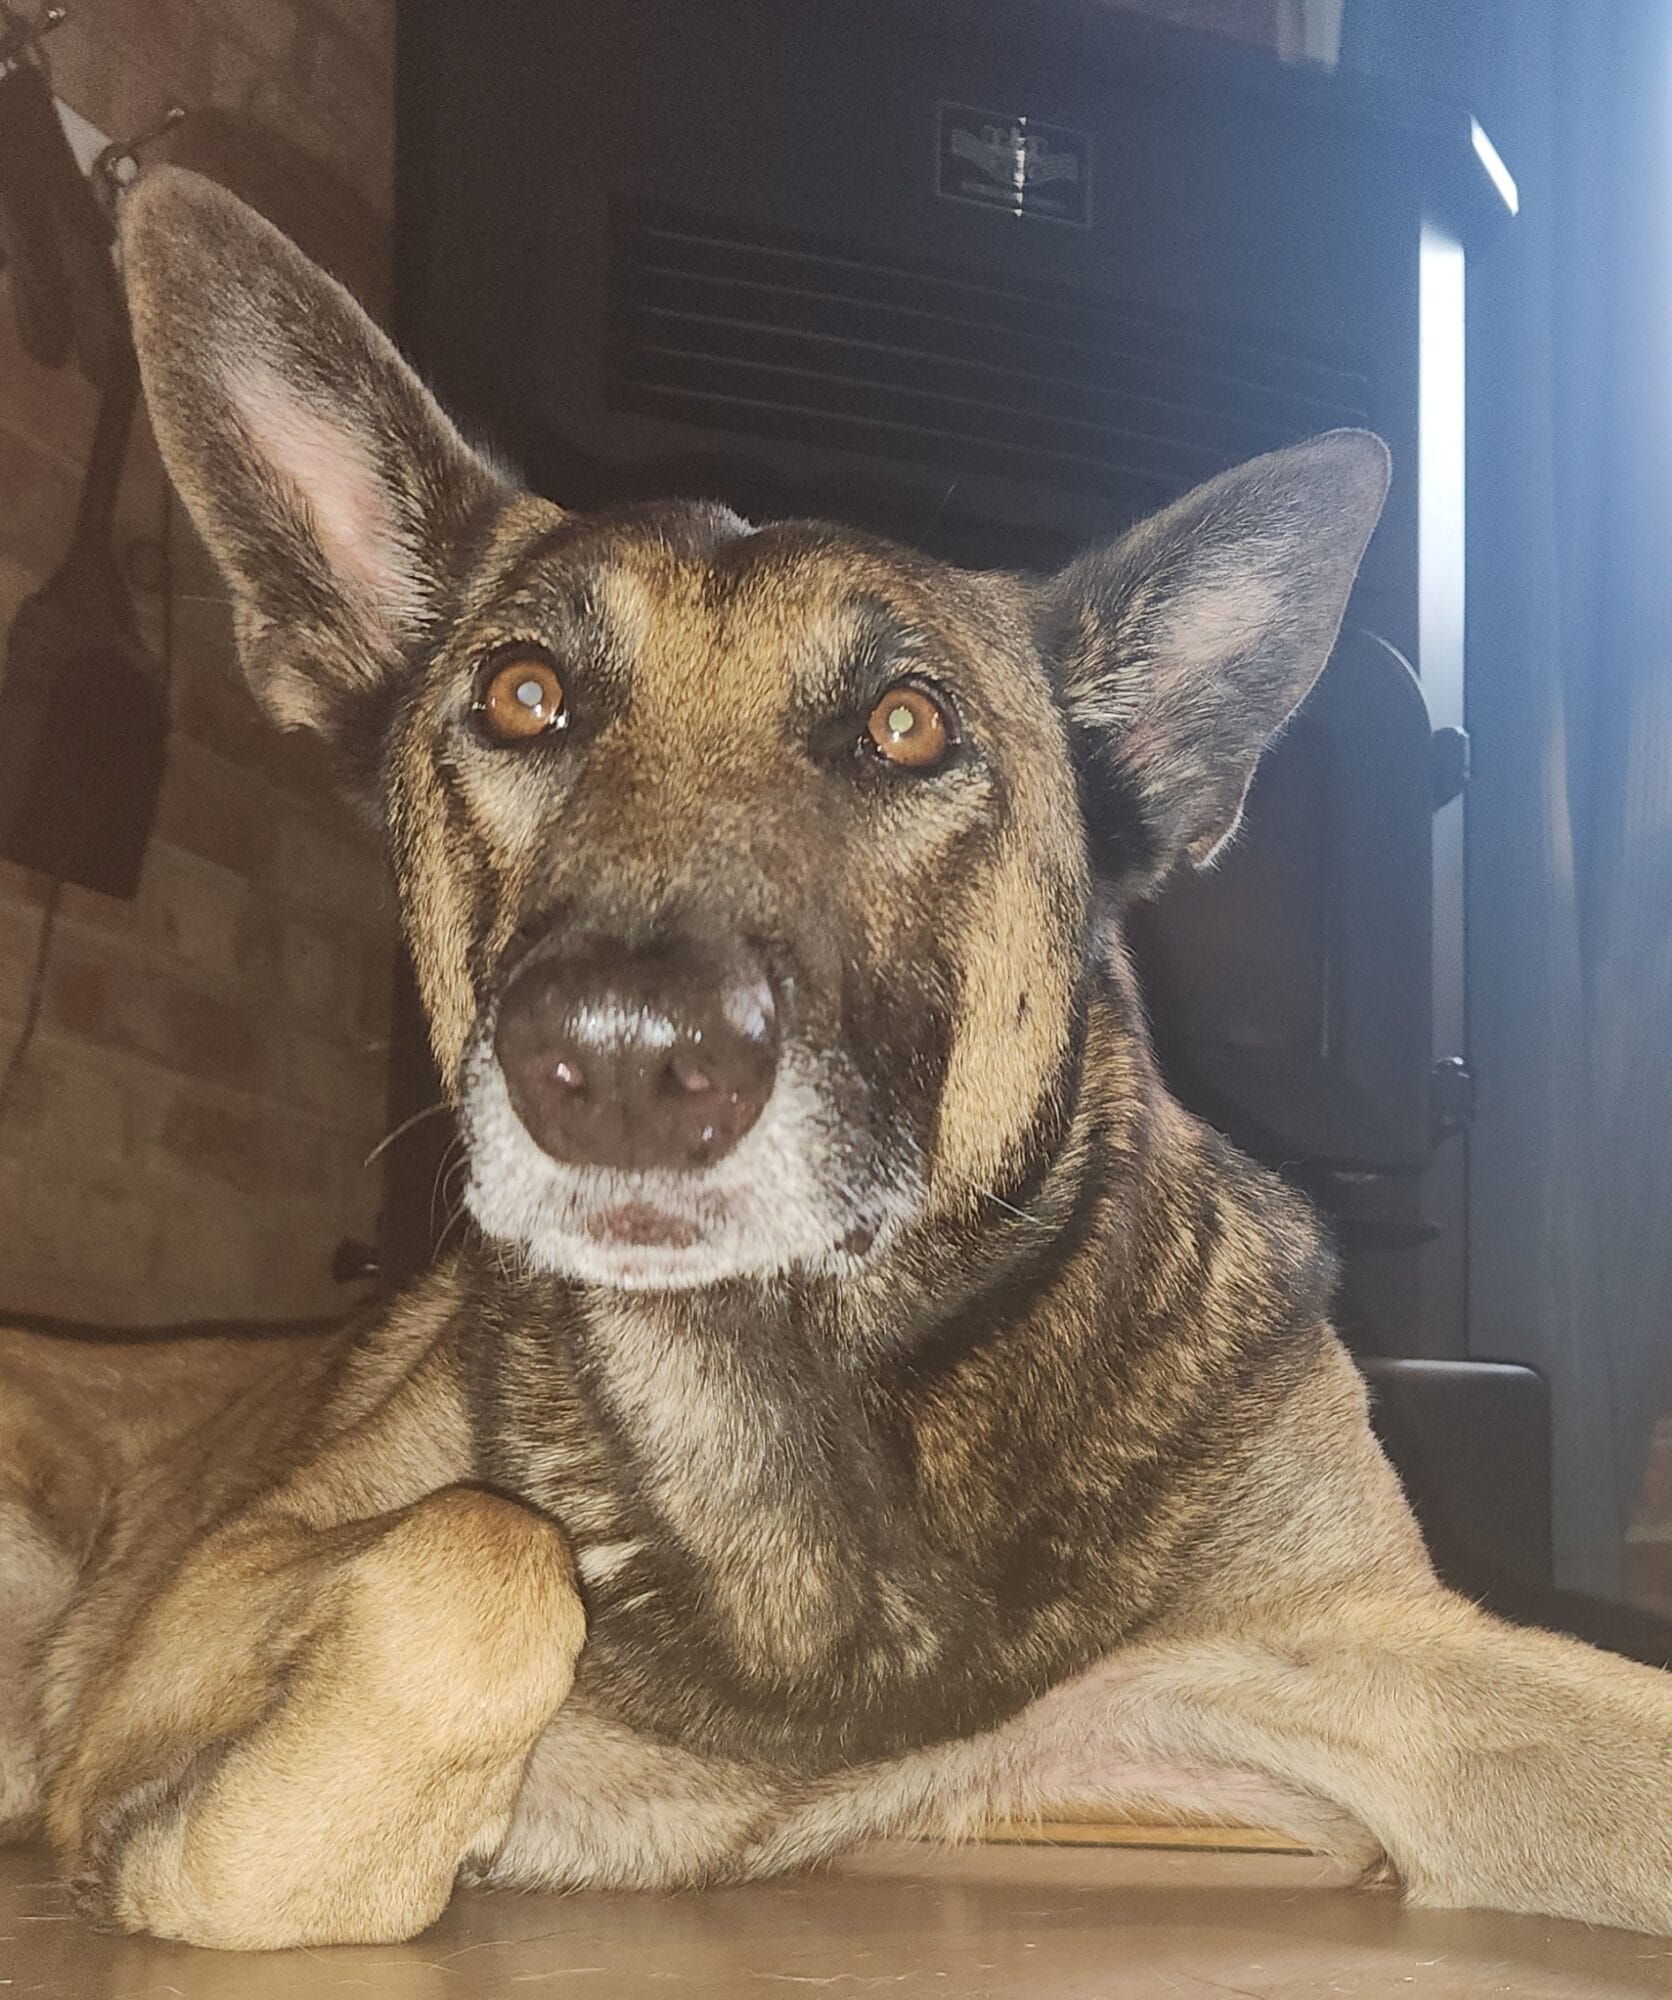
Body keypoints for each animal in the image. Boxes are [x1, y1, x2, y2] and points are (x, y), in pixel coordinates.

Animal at [1, 165, 1670, 1953]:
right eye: (523, 696)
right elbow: (476, 1577)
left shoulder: (1361, 1651)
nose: (621, 1064)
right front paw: (211, 1859)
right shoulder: (200, 1605)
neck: (822, 1384)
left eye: (907, 727)